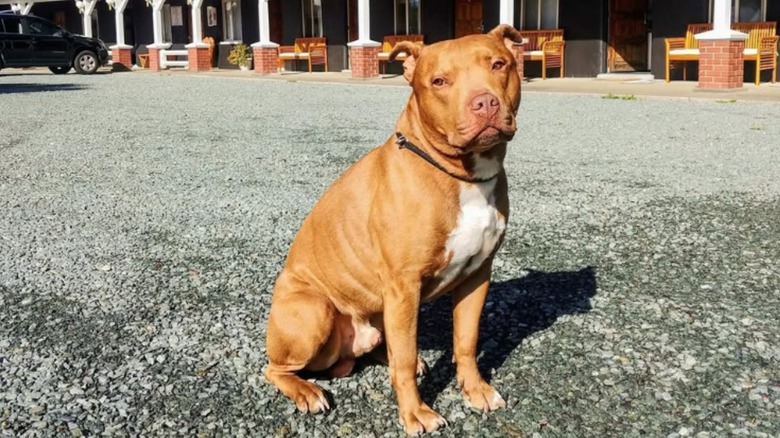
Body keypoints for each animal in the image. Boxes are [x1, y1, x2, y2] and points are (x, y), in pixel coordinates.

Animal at [264, 24, 524, 434]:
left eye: (499, 65)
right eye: (439, 81)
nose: (484, 103)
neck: (460, 174)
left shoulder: (477, 275)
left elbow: (466, 341)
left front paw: (476, 389)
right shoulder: (405, 286)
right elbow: (403, 358)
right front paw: (415, 413)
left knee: (384, 348)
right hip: (314, 311)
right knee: (275, 368)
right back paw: (306, 391)